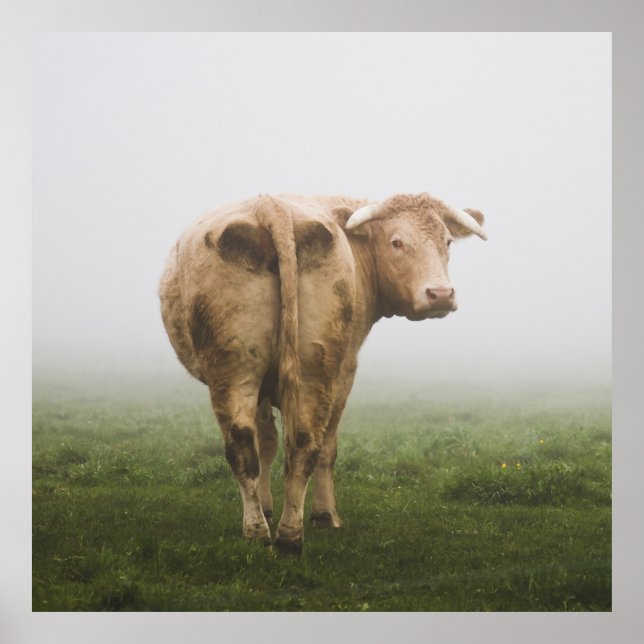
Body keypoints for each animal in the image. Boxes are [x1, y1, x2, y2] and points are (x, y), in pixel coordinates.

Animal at [159, 192, 486, 555]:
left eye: (448, 241)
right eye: (397, 242)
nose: (440, 294)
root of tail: (269, 207)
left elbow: (273, 444)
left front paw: (282, 509)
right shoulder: (344, 369)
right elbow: (298, 445)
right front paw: (315, 513)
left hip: (246, 367)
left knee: (263, 443)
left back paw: (272, 532)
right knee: (292, 444)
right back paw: (277, 531)